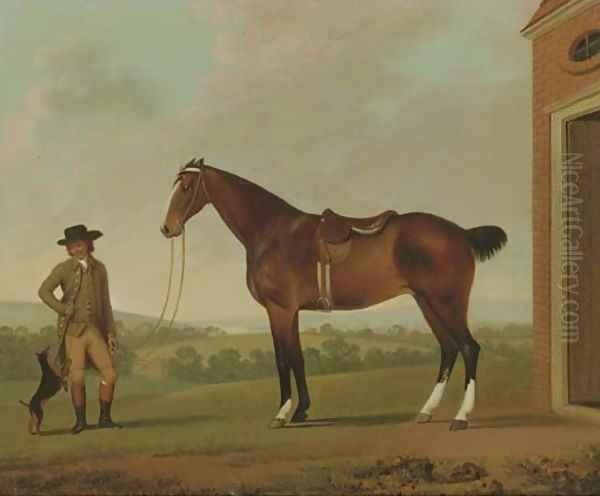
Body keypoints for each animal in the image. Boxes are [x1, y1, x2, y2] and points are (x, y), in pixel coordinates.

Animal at [159, 158, 506, 430]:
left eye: (186, 186)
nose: (167, 228)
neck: (271, 232)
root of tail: (460, 233)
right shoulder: (291, 311)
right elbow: (297, 358)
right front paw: (301, 411)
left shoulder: (278, 309)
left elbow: (282, 359)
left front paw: (282, 413)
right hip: (426, 302)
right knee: (449, 348)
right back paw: (426, 411)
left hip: (447, 302)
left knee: (469, 348)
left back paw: (460, 418)